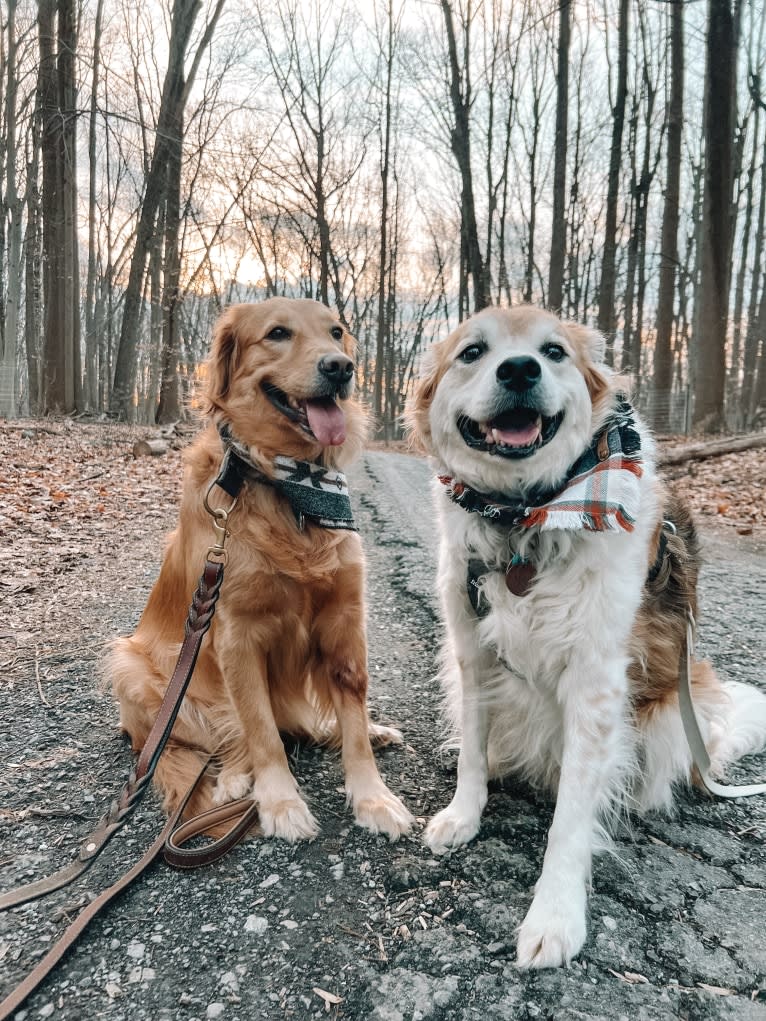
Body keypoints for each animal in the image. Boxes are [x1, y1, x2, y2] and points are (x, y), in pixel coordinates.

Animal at [410, 302, 766, 963]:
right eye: (472, 352)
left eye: (553, 352)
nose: (519, 369)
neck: (525, 516)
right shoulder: (470, 651)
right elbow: (471, 749)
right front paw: (464, 814)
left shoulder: (596, 682)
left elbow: (572, 818)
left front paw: (554, 915)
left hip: (670, 714)